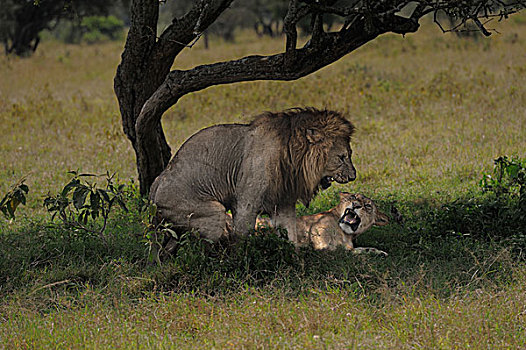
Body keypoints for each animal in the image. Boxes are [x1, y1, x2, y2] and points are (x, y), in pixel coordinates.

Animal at [151, 108, 356, 245]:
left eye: (349, 154)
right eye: (341, 157)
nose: (353, 176)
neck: (292, 155)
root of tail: (154, 186)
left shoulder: (282, 202)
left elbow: (290, 234)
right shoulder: (246, 203)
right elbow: (242, 236)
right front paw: (242, 262)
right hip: (212, 213)